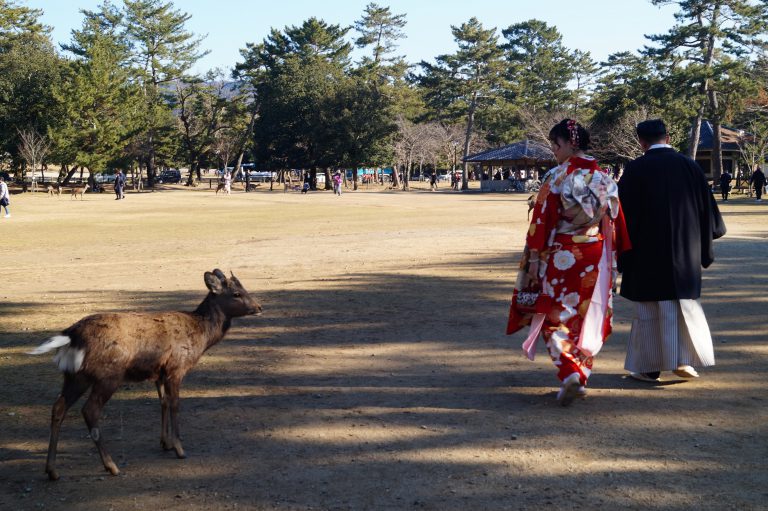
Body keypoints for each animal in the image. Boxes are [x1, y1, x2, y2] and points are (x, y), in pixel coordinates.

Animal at [28, 270, 262, 482]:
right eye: (236, 293)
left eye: (243, 288)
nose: (259, 307)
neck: (200, 337)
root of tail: (71, 335)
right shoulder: (176, 368)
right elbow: (175, 404)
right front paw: (179, 448)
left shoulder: (159, 373)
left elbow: (163, 403)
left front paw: (165, 443)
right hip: (108, 375)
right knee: (90, 410)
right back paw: (111, 466)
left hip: (74, 376)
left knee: (58, 407)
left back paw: (52, 470)